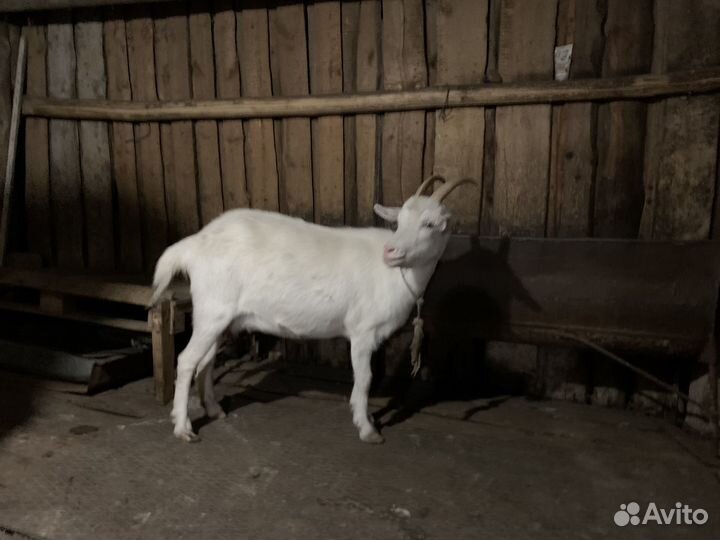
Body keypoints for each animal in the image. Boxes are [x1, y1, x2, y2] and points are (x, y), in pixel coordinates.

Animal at [150, 176, 477, 443]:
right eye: (399, 222)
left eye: (430, 224)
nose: (391, 252)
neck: (395, 274)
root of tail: (193, 245)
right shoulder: (362, 331)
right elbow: (365, 378)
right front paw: (367, 428)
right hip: (212, 310)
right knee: (187, 360)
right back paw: (183, 428)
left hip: (218, 317)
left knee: (205, 361)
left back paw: (214, 409)